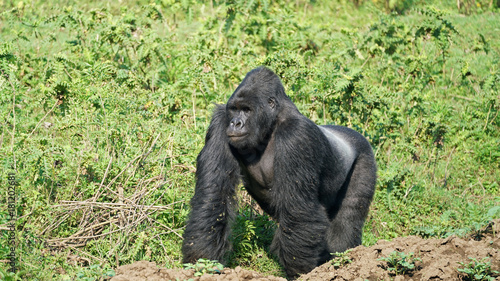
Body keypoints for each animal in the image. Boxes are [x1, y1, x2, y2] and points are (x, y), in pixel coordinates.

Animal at [182, 66, 376, 276]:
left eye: (247, 110)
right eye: (234, 110)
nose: (235, 123)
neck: (270, 125)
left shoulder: (296, 134)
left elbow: (298, 207)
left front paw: (299, 271)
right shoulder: (220, 122)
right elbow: (214, 195)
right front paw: (201, 260)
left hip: (365, 156)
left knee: (347, 220)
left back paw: (345, 260)